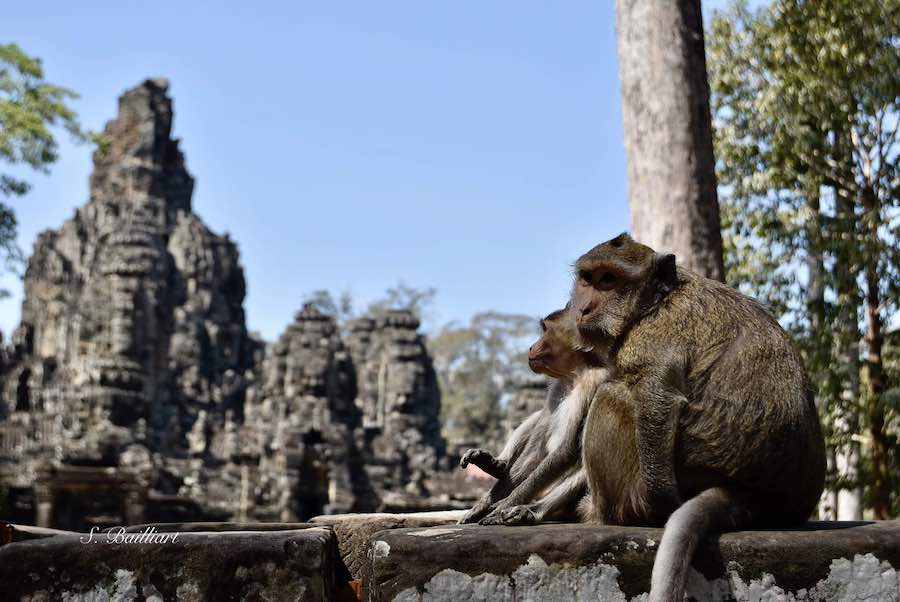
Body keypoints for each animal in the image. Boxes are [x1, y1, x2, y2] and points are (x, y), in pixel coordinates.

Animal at [458, 308, 604, 524]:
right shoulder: (556, 387)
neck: (573, 376)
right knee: (537, 418)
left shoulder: (593, 383)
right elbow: (534, 452)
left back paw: (531, 511)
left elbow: (566, 451)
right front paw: (481, 506)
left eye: (546, 331)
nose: (531, 346)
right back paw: (497, 465)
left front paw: (505, 504)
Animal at [572, 232, 828, 600]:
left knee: (611, 396)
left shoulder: (651, 339)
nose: (583, 308)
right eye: (587, 278)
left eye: (609, 280)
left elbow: (657, 398)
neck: (654, 303)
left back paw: (602, 514)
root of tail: (749, 495)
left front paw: (662, 504)